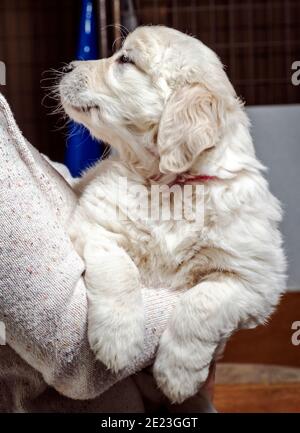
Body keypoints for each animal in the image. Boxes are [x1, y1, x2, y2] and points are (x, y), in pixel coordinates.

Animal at [58, 24, 286, 402]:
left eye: (125, 60)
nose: (67, 67)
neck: (168, 185)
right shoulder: (93, 226)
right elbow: (120, 270)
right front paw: (118, 339)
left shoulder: (255, 278)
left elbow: (202, 303)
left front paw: (178, 374)